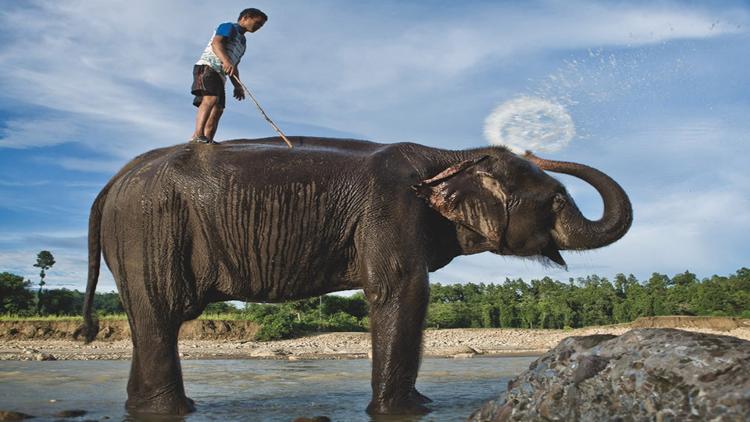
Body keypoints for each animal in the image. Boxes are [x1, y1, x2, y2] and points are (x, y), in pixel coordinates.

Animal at [78, 136, 628, 416]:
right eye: (556, 199)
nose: (534, 149)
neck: (450, 155)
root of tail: (111, 183)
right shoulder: (391, 209)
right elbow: (402, 289)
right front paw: (406, 411)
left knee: (149, 321)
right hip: (149, 229)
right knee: (161, 315)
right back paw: (171, 409)